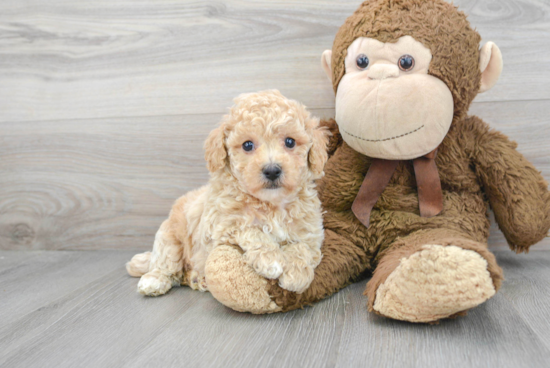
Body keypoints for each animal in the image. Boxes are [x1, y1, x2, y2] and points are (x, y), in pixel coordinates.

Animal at [127, 90, 330, 298]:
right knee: (167, 264)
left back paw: (197, 278)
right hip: (169, 238)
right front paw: (270, 259)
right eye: (247, 145)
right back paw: (154, 280)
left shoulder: (311, 231)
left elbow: (303, 247)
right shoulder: (221, 227)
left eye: (290, 141)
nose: (272, 170)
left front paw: (296, 274)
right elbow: (250, 229)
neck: (270, 204)